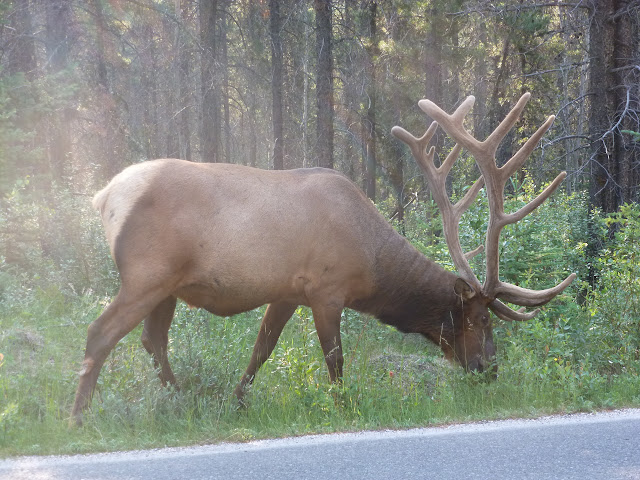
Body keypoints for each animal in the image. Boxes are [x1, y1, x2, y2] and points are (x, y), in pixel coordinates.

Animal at [70, 92, 576, 426]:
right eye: (482, 320)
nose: (490, 370)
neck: (373, 263)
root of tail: (104, 197)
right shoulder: (328, 290)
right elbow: (335, 359)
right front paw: (345, 406)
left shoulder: (288, 291)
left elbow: (262, 349)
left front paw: (237, 401)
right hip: (145, 275)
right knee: (100, 334)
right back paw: (79, 415)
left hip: (167, 286)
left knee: (152, 341)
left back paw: (183, 401)